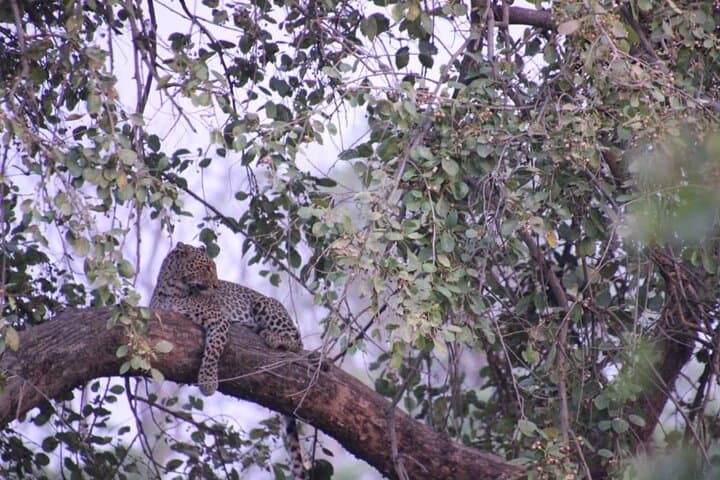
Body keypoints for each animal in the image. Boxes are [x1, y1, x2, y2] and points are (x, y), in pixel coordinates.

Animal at [149, 242, 307, 479]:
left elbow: (213, 350)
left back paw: (272, 336)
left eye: (214, 268)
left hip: (266, 305)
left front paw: (207, 382)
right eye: (206, 268)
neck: (172, 289)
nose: (216, 285)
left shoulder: (219, 320)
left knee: (297, 340)